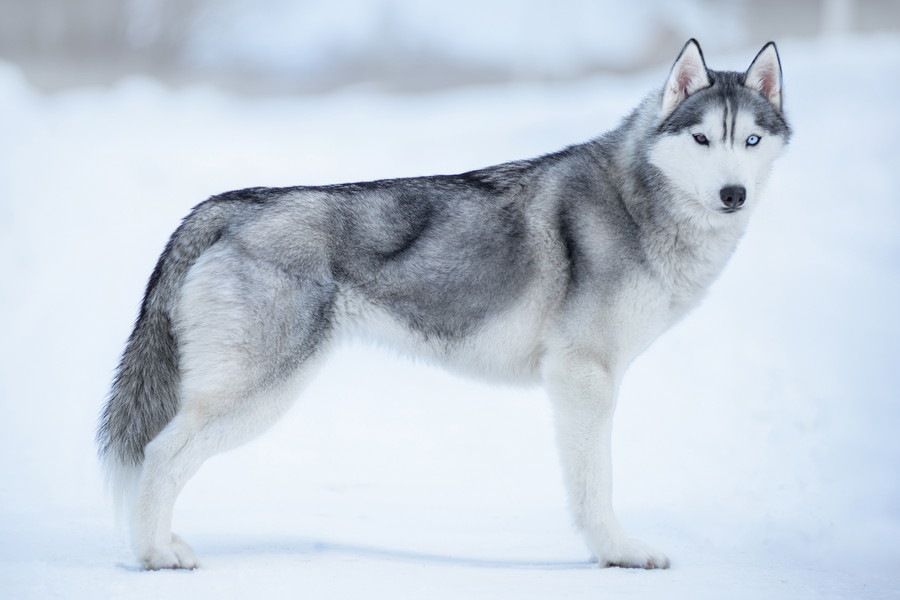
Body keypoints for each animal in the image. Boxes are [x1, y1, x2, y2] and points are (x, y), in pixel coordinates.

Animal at [95, 39, 792, 568]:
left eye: (751, 141)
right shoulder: (584, 377)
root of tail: (227, 205)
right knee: (160, 456)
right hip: (256, 394)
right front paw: (617, 553)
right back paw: (156, 556)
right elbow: (596, 485)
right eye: (701, 138)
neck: (636, 200)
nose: (732, 194)